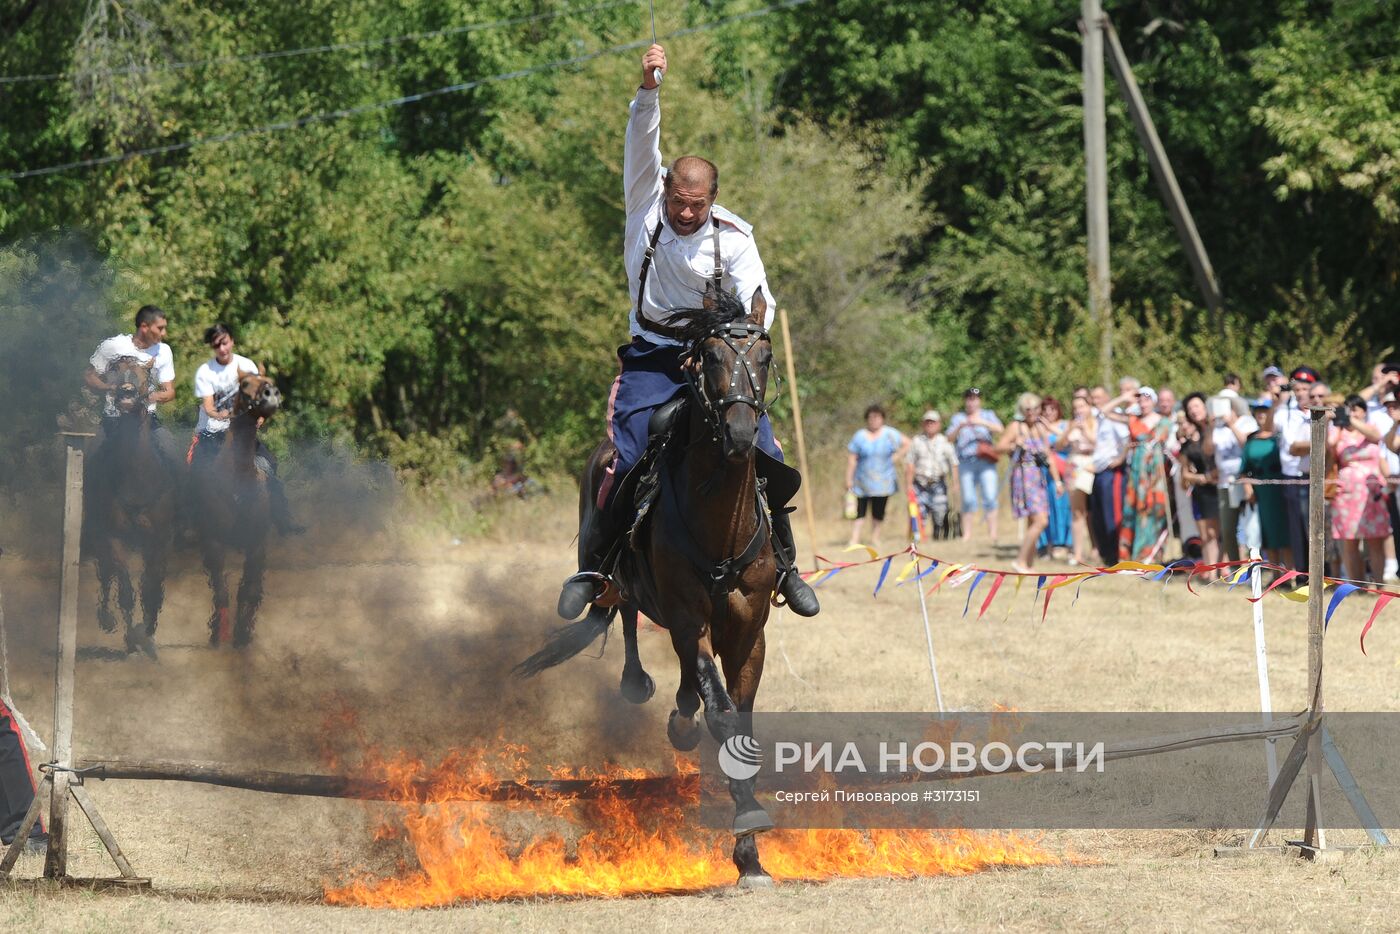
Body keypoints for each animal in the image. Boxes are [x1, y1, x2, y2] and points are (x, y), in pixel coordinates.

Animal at [84, 355, 179, 658]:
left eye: (145, 374)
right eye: (114, 371)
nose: (126, 393)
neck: (137, 478)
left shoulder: (160, 537)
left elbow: (152, 586)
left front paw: (147, 636)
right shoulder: (114, 535)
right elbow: (125, 589)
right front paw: (131, 638)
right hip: (97, 530)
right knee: (105, 571)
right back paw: (106, 619)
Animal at [187, 369, 282, 646]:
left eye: (269, 381)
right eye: (245, 383)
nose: (271, 395)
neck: (237, 481)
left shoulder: (256, 546)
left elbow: (248, 591)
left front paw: (242, 635)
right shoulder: (214, 544)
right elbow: (221, 591)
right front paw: (220, 635)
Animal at [520, 288, 795, 890]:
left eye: (765, 357)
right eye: (709, 356)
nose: (741, 434)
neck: (721, 520)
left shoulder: (749, 626)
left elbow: (738, 714)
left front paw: (751, 855)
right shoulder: (689, 616)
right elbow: (720, 710)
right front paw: (747, 822)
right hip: (626, 586)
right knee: (623, 615)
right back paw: (640, 683)